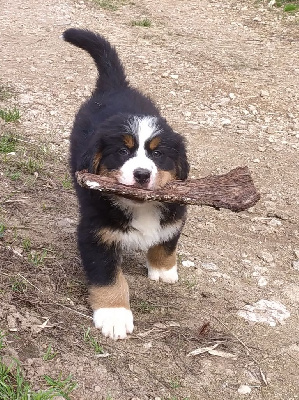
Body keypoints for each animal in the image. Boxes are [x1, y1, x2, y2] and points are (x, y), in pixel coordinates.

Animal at [63, 28, 190, 340]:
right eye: (122, 151)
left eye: (157, 154)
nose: (142, 174)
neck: (139, 206)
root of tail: (115, 86)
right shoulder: (95, 233)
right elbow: (108, 277)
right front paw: (115, 316)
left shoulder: (176, 212)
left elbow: (167, 240)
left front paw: (163, 269)